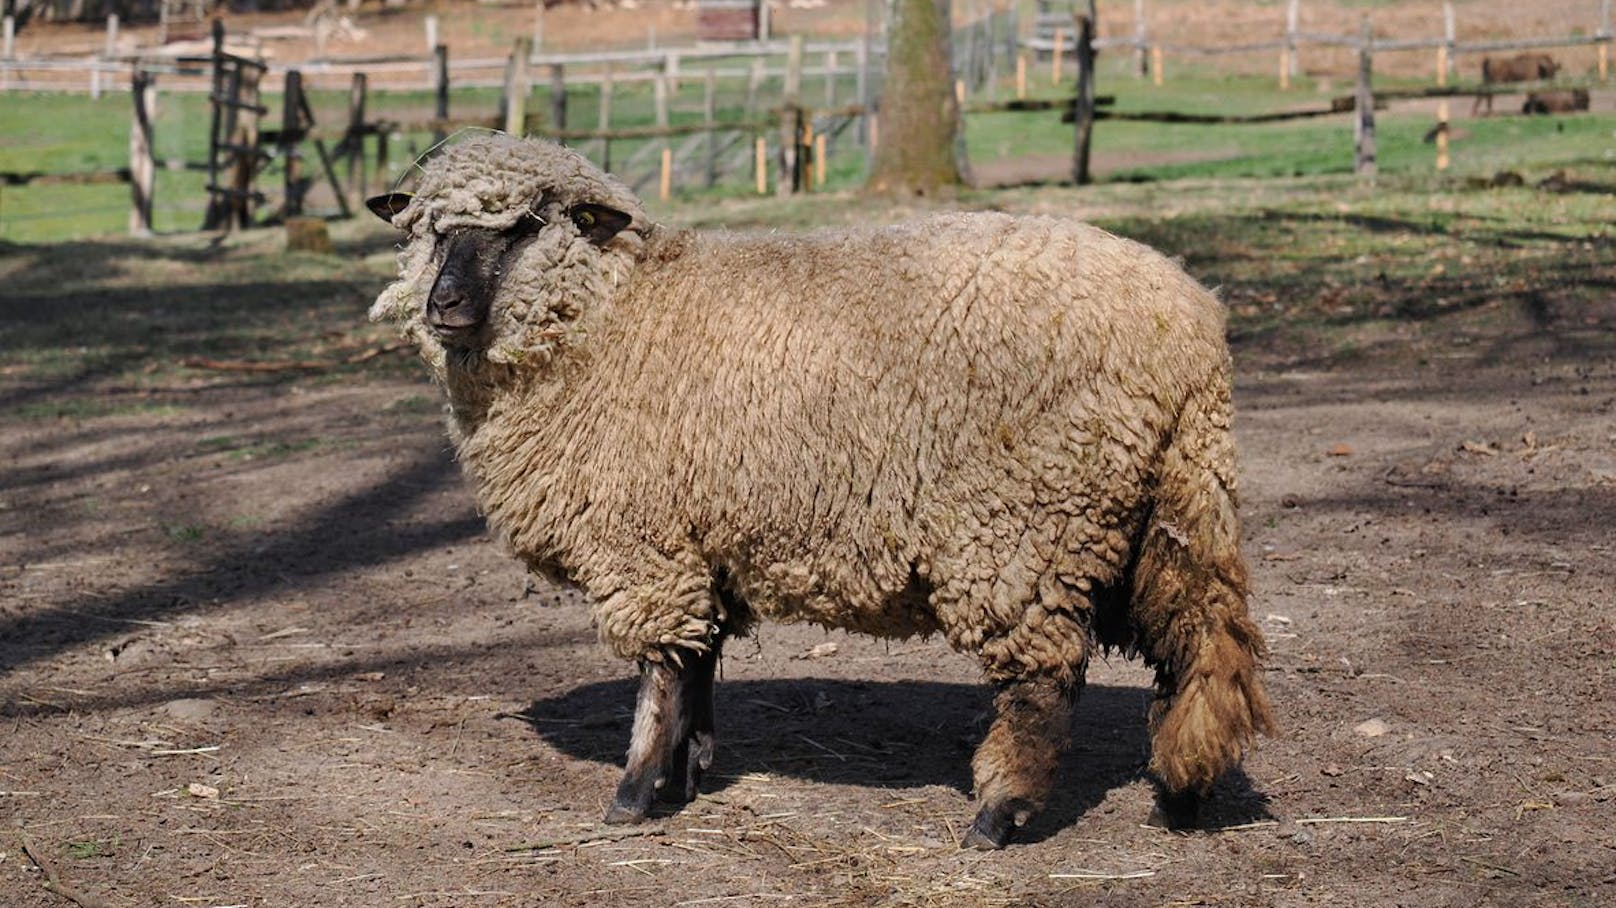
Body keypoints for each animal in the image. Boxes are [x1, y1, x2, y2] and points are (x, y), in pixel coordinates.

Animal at [366, 134, 1273, 846]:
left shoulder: (644, 542)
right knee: (1196, 642)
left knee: (1042, 678)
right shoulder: (701, 540)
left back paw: (998, 814)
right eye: (431, 230)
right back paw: (1184, 793)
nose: (445, 304)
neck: (615, 312)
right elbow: (697, 664)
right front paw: (686, 775)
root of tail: (1191, 325)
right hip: (1163, 508)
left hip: (1026, 522)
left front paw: (633, 793)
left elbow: (659, 673)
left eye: (524, 226)